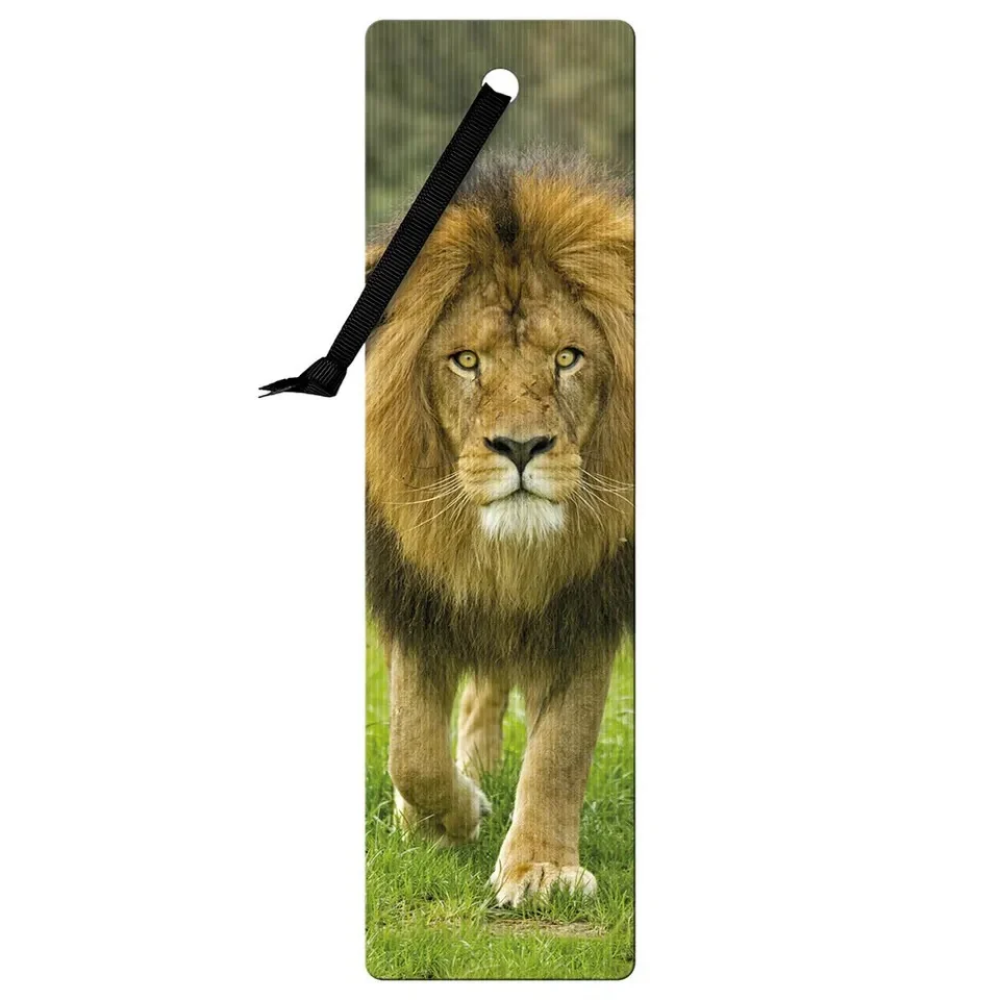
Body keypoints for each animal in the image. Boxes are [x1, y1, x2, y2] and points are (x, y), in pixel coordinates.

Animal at [366, 154, 633, 907]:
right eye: (466, 361)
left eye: (568, 358)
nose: (520, 447)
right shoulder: (419, 596)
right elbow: (412, 750)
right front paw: (447, 819)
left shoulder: (585, 605)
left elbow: (561, 748)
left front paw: (541, 870)